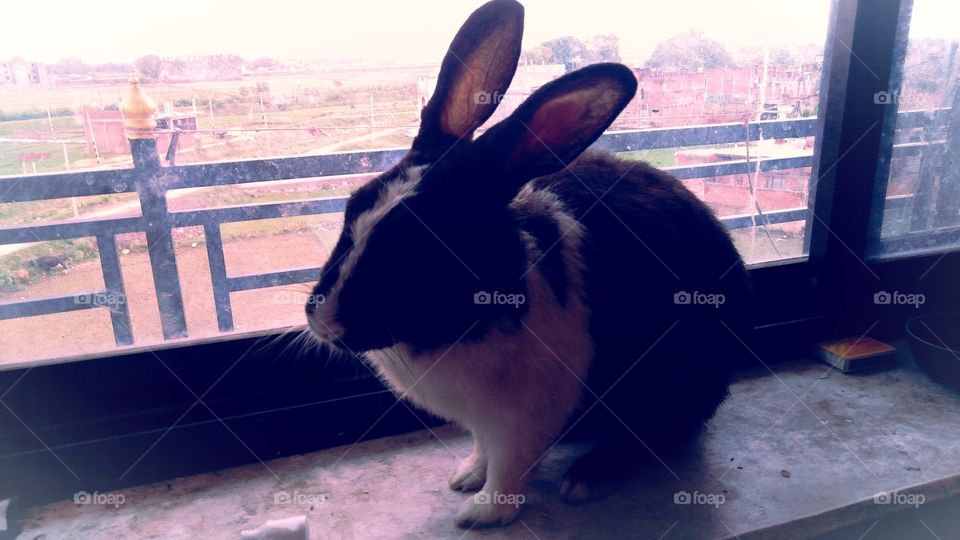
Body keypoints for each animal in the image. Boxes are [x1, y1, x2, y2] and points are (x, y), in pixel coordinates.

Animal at [305, 0, 752, 528]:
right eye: (352, 208)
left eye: (419, 252)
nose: (321, 319)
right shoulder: (484, 419)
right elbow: (484, 451)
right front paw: (465, 477)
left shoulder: (526, 414)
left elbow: (510, 464)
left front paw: (480, 513)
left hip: (673, 385)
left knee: (662, 433)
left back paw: (588, 478)